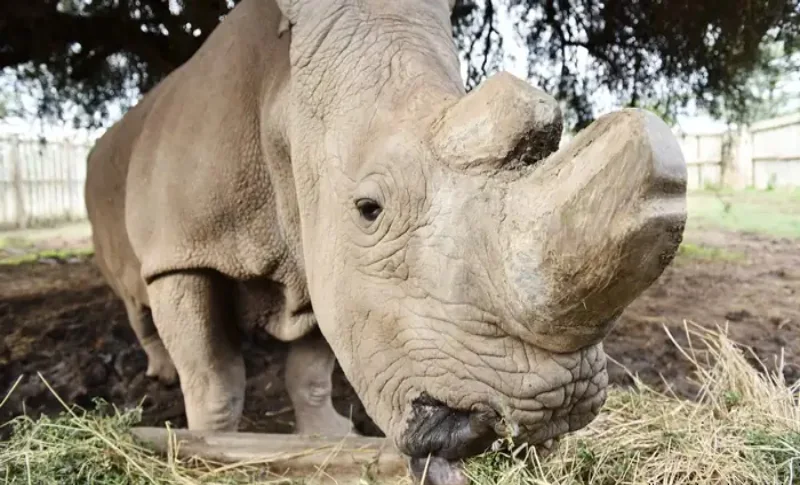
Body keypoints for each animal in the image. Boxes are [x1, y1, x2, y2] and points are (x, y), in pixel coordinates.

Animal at [84, 0, 687, 483]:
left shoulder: (321, 248)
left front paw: (330, 437)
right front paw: (208, 447)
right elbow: (214, 376)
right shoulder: (181, 253)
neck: (284, 102)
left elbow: (312, 365)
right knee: (134, 297)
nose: (556, 407)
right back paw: (160, 373)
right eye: (369, 209)